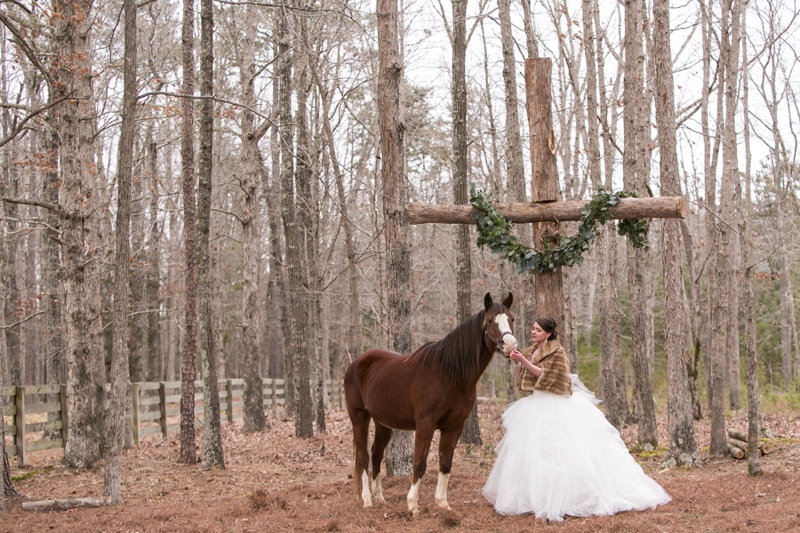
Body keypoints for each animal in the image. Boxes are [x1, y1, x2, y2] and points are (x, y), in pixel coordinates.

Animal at [344, 290, 520, 516]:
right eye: (490, 320)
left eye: (511, 319)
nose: (510, 345)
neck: (449, 373)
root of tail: (357, 363)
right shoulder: (425, 426)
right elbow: (419, 463)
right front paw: (413, 505)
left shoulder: (454, 427)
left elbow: (445, 463)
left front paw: (442, 503)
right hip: (359, 418)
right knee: (363, 457)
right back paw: (367, 500)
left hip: (382, 423)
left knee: (376, 455)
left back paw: (380, 498)